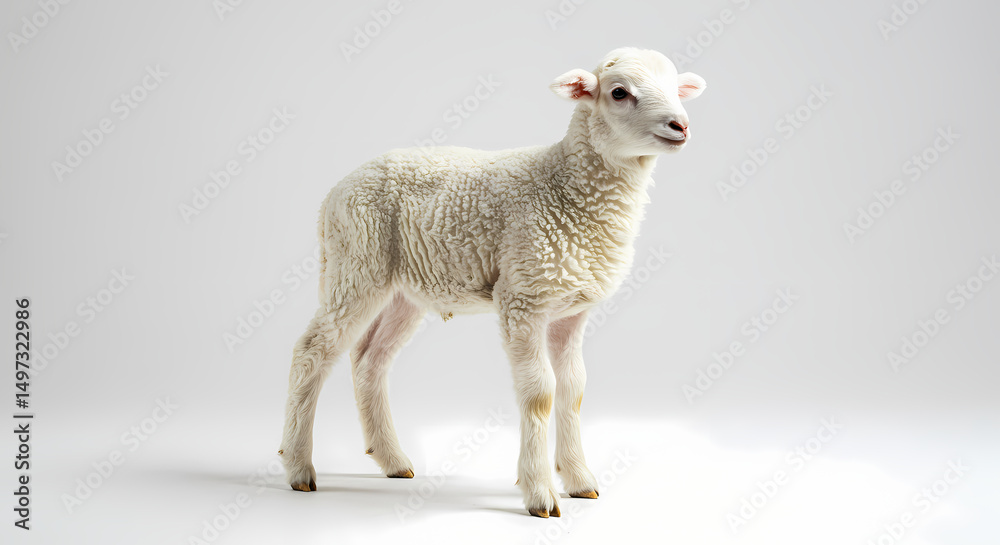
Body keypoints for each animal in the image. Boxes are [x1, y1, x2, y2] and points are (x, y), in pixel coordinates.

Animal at [278, 47, 706, 518]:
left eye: (675, 88)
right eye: (618, 92)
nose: (681, 125)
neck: (566, 187)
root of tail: (333, 194)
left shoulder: (572, 309)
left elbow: (573, 389)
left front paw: (580, 481)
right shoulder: (523, 295)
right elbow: (540, 393)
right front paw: (540, 493)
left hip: (403, 287)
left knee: (370, 359)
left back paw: (392, 460)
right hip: (355, 261)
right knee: (312, 351)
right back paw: (298, 467)